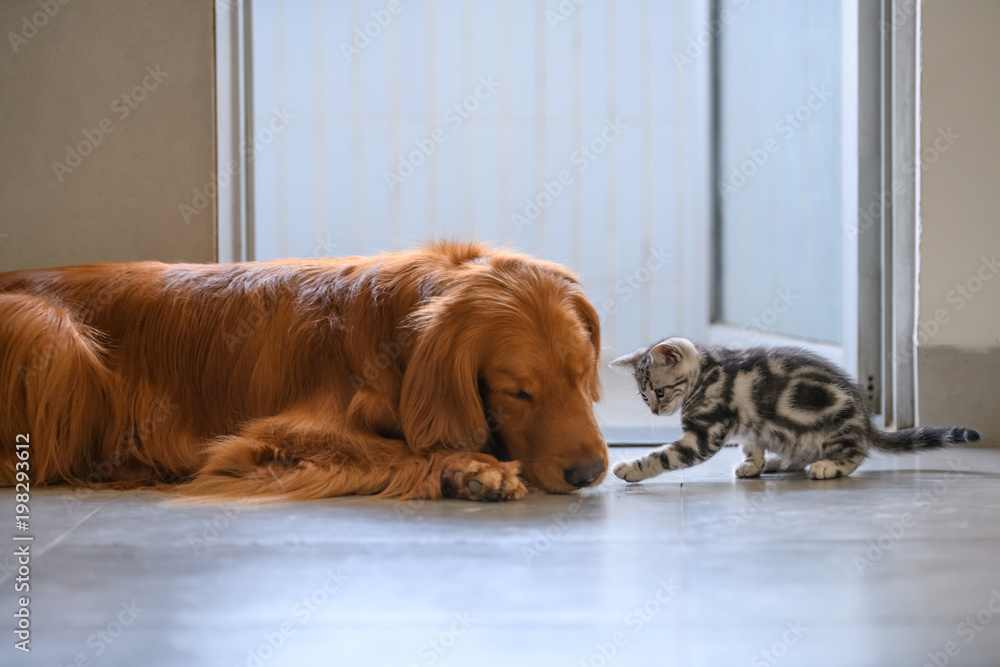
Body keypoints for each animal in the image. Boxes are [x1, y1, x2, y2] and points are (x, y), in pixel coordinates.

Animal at [608, 340, 976, 480]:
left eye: (659, 391)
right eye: (644, 397)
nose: (656, 411)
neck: (707, 373)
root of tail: (864, 420)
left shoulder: (705, 432)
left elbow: (665, 455)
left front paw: (631, 468)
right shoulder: (750, 425)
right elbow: (752, 444)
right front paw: (753, 465)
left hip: (835, 427)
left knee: (855, 454)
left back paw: (829, 466)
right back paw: (777, 462)